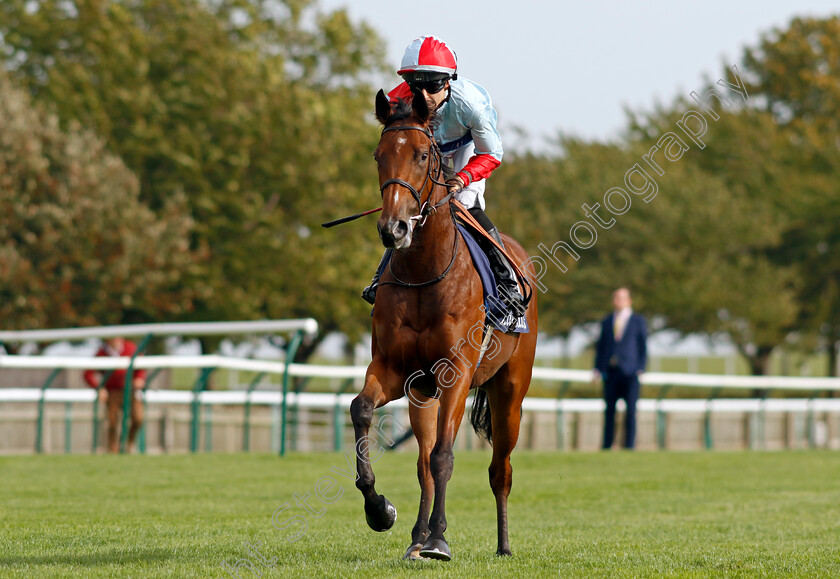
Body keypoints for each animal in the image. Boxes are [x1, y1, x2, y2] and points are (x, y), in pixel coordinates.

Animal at [350, 88, 540, 560]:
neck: (424, 273)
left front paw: (439, 539)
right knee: (422, 462)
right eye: (379, 155)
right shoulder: (397, 371)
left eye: (422, 155)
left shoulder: (457, 371)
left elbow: (445, 457)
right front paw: (380, 510)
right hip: (423, 395)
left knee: (499, 469)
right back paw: (415, 539)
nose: (394, 228)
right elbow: (362, 409)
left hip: (510, 391)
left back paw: (502, 545)